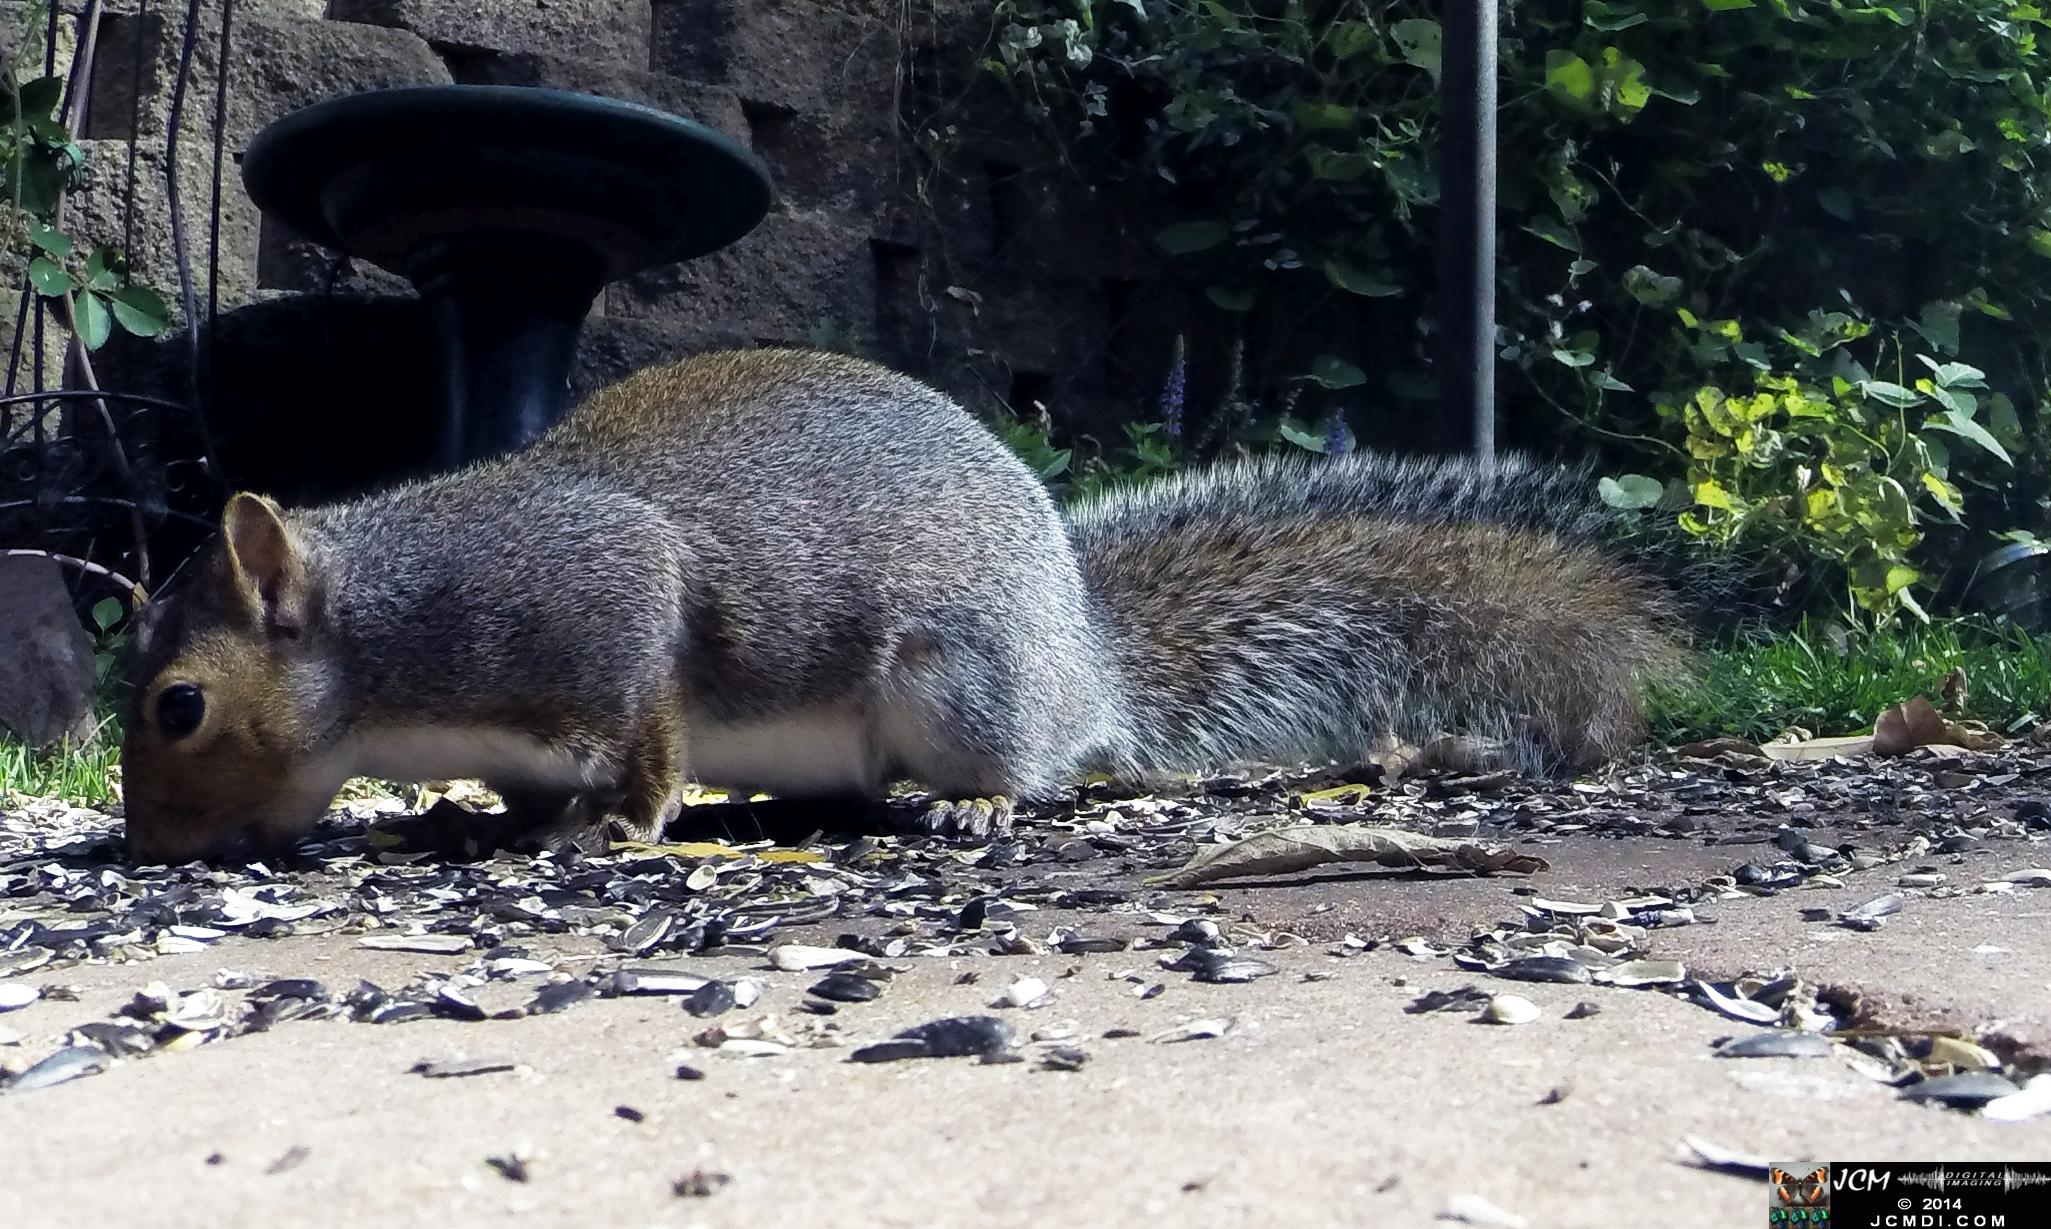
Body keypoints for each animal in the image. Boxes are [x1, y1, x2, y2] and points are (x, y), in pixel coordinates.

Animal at [118, 348, 1696, 864]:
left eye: (179, 705)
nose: (145, 850)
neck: (390, 639)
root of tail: (1084, 665)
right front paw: (453, 820)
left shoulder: (608, 611)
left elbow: (647, 735)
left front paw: (614, 829)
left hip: (955, 682)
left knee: (1006, 767)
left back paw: (981, 800)